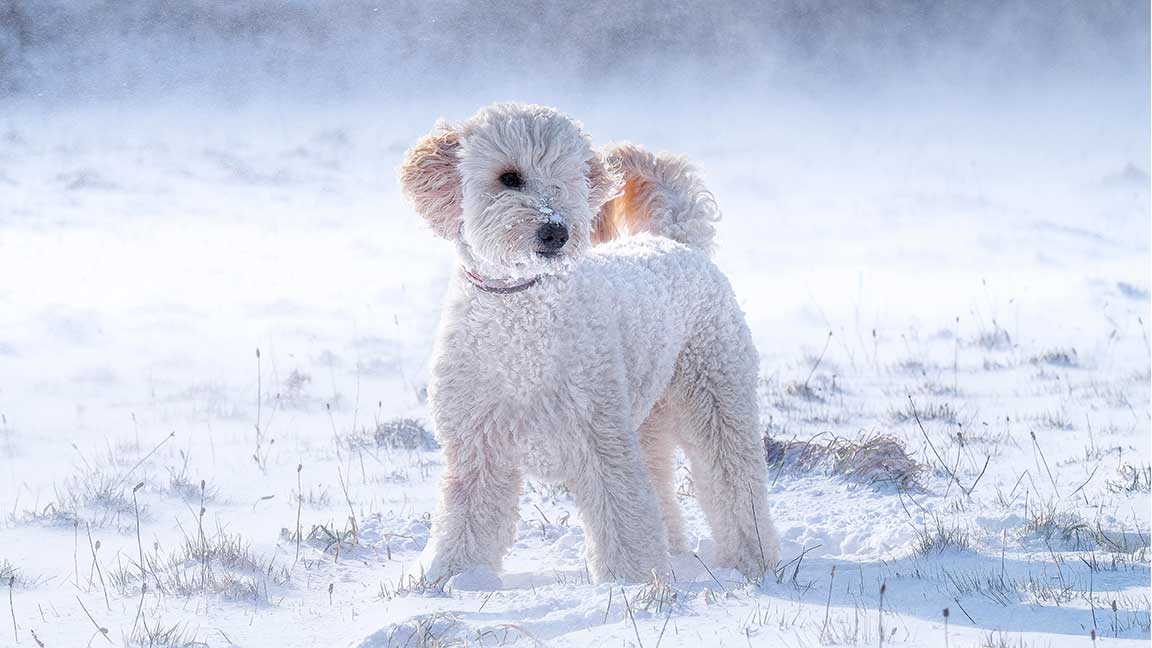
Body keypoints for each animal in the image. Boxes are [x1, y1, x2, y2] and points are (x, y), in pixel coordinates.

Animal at [398, 103, 783, 583]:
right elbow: (464, 522)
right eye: (509, 177)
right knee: (660, 488)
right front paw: (452, 576)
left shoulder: (600, 441)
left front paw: (631, 582)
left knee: (733, 480)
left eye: (565, 178)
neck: (522, 315)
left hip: (714, 399)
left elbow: (622, 515)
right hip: (644, 420)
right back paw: (676, 552)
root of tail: (674, 241)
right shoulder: (477, 448)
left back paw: (752, 561)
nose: (555, 232)